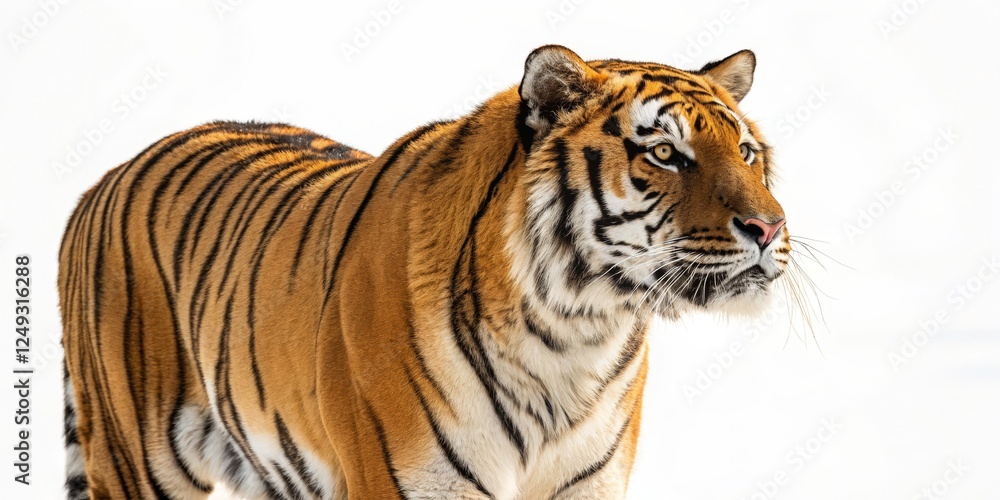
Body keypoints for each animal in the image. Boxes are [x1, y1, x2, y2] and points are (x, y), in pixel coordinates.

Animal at [59, 44, 790, 499]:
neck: (571, 332)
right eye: (665, 153)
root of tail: (101, 180)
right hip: (131, 458)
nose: (770, 228)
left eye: (747, 153)